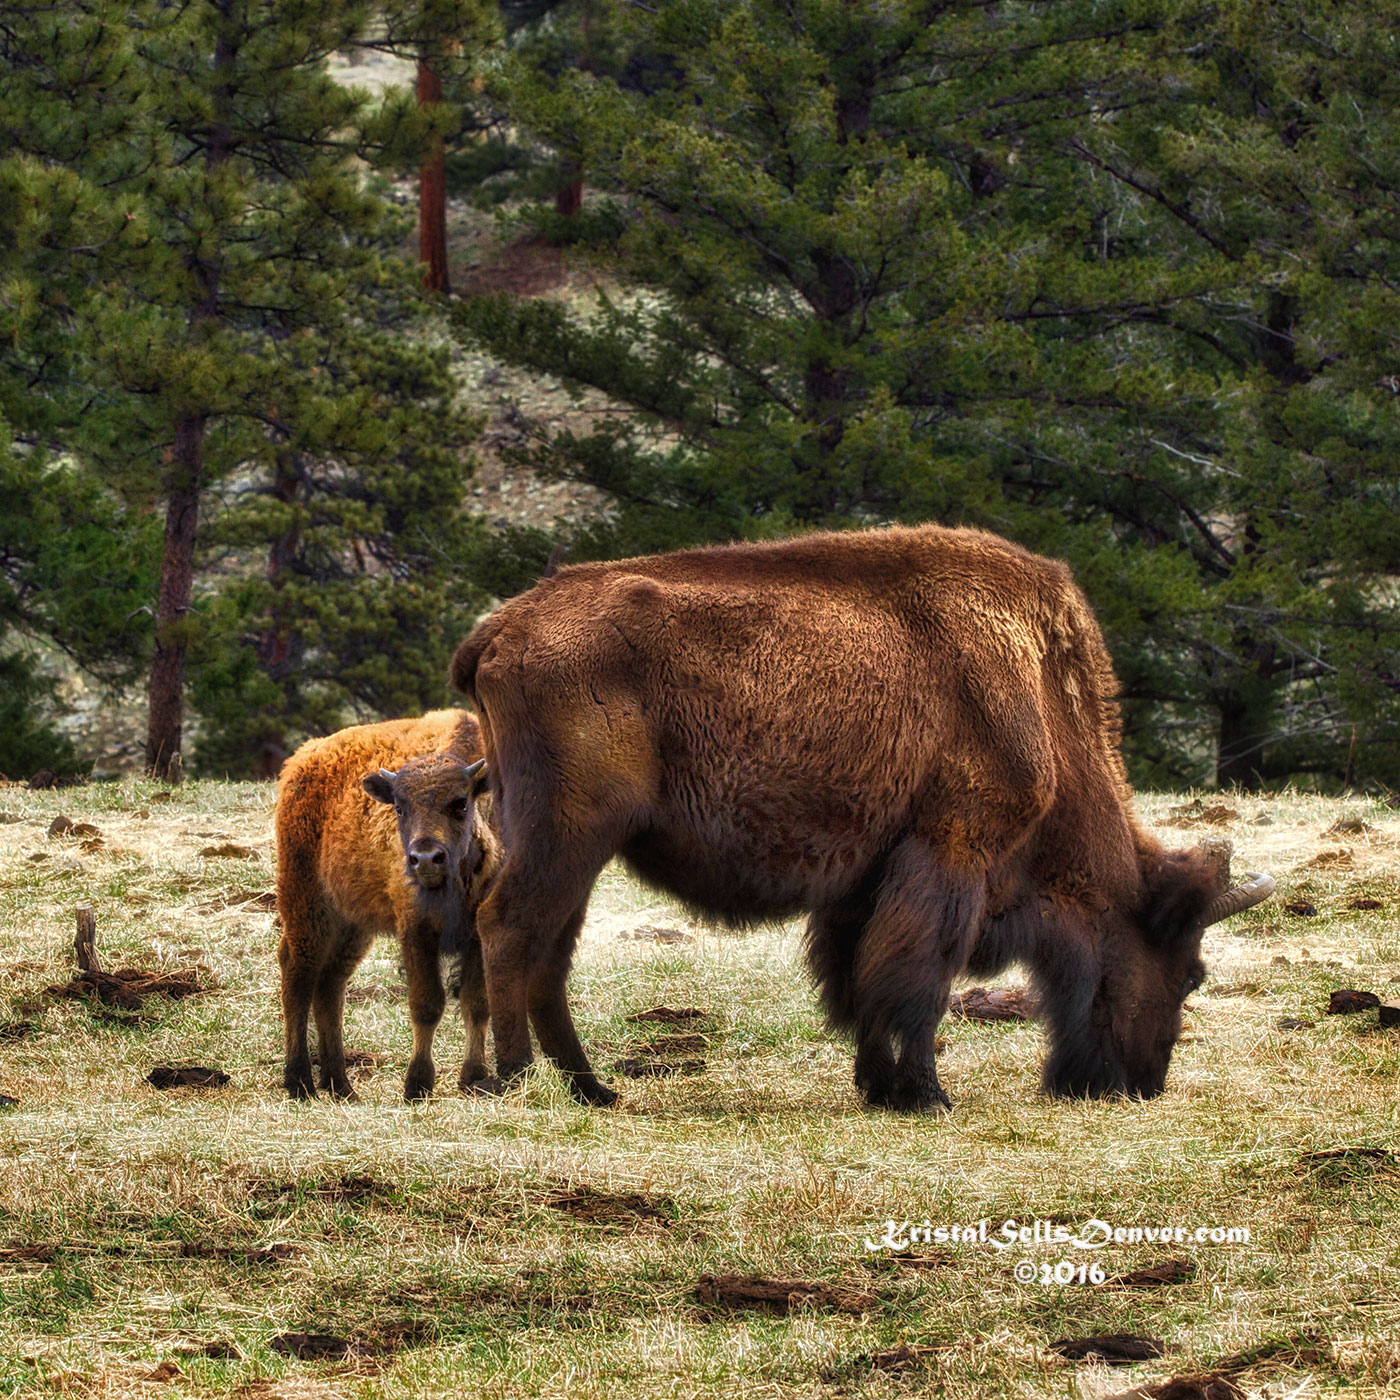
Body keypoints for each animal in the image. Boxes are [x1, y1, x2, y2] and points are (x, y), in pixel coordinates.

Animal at [273, 716, 498, 1097]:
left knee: (330, 985)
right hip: (306, 904)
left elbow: (477, 1003)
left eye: (461, 803)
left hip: (353, 925)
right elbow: (427, 1004)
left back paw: (340, 1085)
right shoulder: (416, 930)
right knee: (298, 974)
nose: (425, 859)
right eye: (399, 807)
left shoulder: (477, 935)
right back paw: (300, 1081)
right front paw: (417, 1084)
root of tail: (301, 761)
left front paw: (474, 1078)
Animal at [450, 526, 1282, 1114]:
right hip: (569, 833)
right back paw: (512, 1081)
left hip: (565, 842)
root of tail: (499, 629)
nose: (1142, 1083)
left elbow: (862, 981)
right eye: (1189, 972)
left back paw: (591, 1089)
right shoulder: (952, 850)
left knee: (549, 952)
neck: (1039, 697)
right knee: (512, 929)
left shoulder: (865, 884)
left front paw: (880, 1088)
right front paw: (928, 1096)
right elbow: (918, 979)